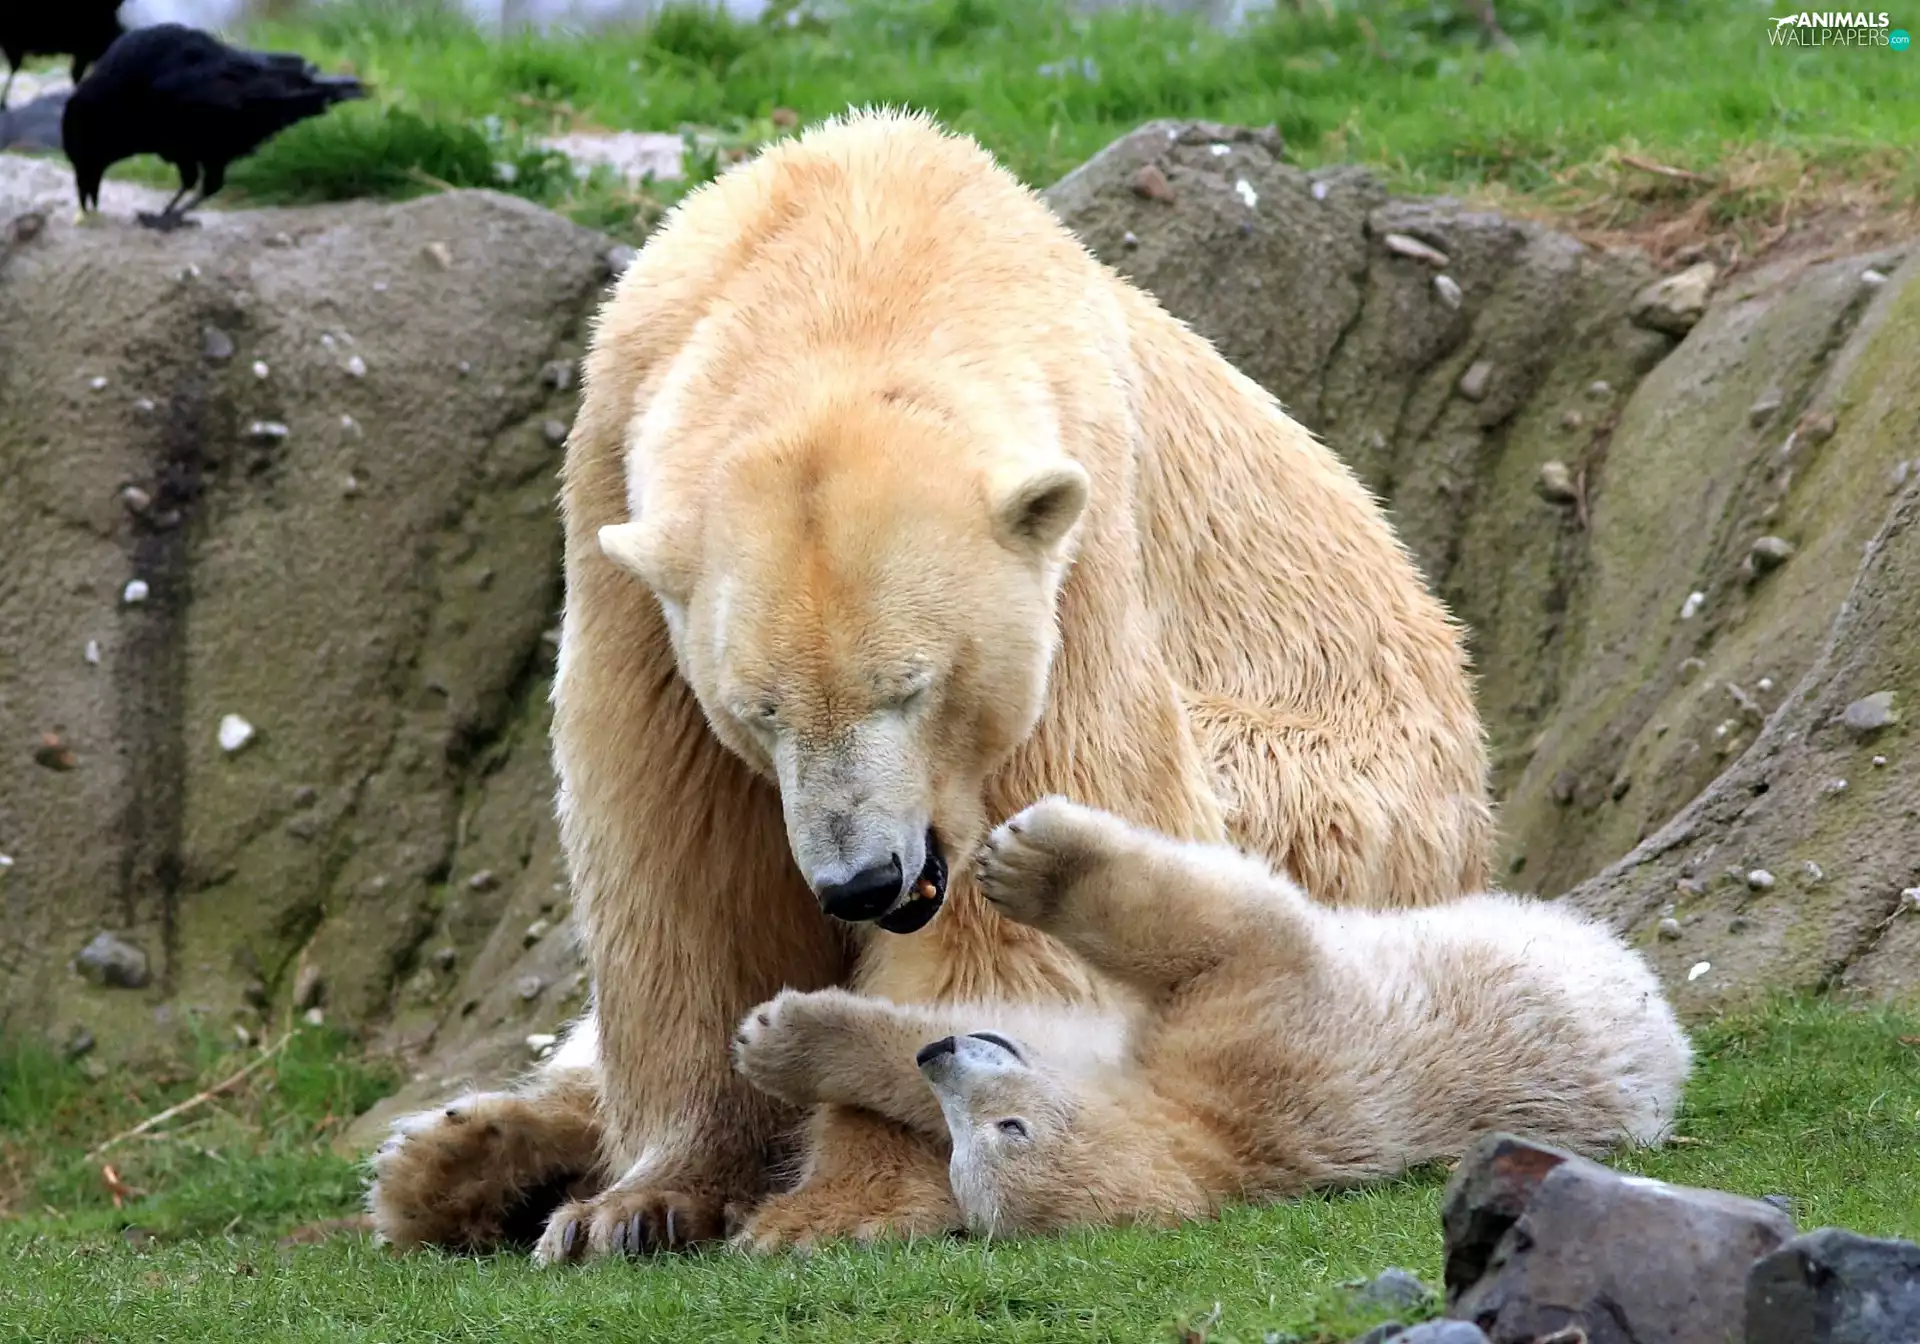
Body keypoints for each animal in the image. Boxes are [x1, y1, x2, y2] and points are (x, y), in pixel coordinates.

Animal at [364, 106, 1494, 1261]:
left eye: (911, 687)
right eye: (761, 710)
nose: (863, 881)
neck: (865, 248)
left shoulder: (1073, 553)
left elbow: (1022, 908)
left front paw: (841, 1198)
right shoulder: (618, 511)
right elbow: (685, 861)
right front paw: (635, 1206)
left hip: (1327, 803)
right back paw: (457, 1159)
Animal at [731, 796, 1692, 1239]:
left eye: (1008, 1131)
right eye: (962, 1151)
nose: (943, 1058)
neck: (1219, 1145)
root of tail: (1671, 1048)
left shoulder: (1260, 1040)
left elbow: (1221, 935)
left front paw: (1032, 861)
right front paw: (780, 1042)